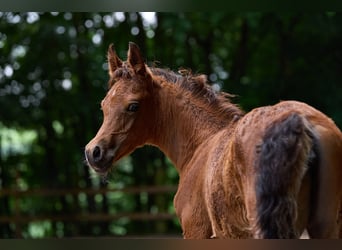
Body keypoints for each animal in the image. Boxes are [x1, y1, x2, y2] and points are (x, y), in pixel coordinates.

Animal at [85, 42, 342, 239]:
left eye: (133, 106)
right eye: (104, 105)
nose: (93, 153)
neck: (200, 143)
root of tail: (302, 121)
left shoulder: (195, 230)